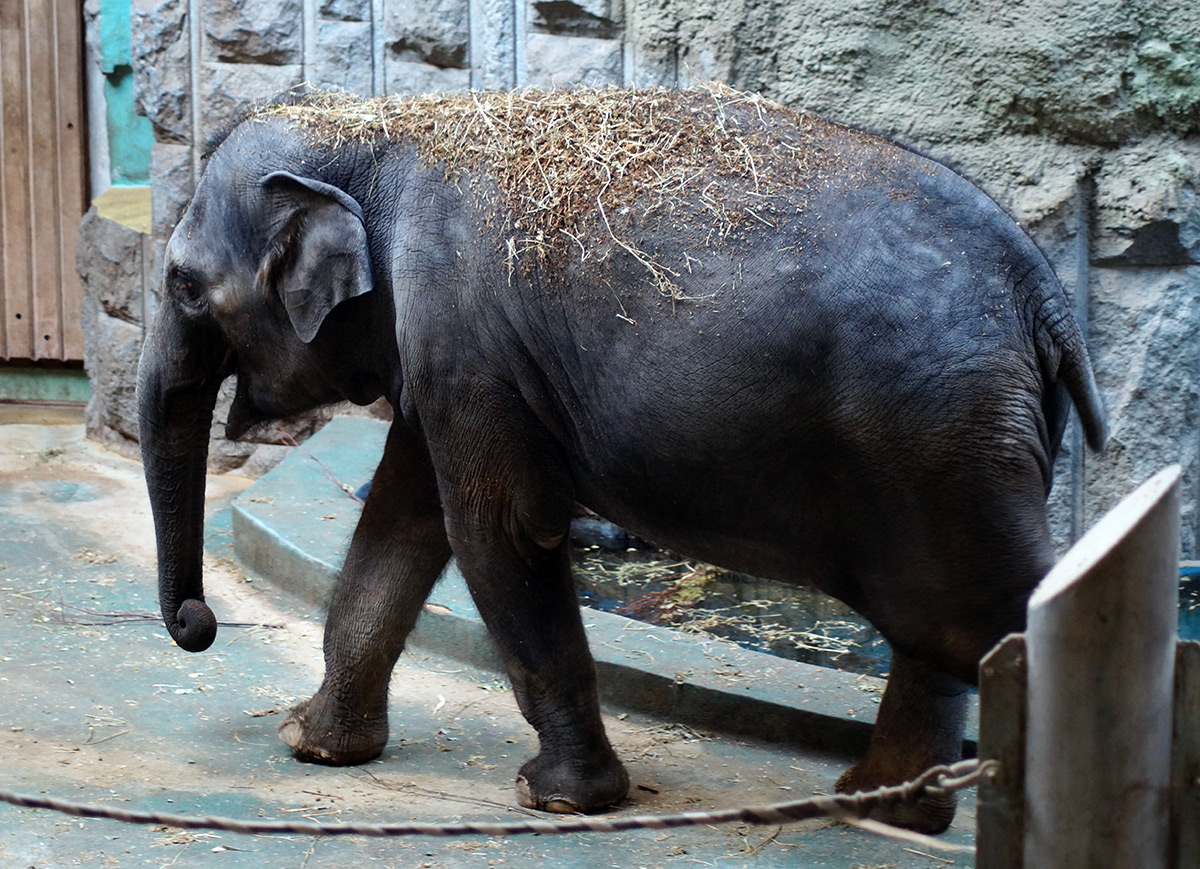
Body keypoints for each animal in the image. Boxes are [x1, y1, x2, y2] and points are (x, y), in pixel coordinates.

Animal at [138, 83, 1104, 835]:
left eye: (184, 286)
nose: (196, 623)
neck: (378, 127)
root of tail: (1044, 293)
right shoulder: (447, 362)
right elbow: (403, 525)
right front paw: (312, 743)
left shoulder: (464, 343)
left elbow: (497, 535)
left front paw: (559, 799)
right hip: (954, 446)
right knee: (941, 615)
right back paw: (880, 805)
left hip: (935, 430)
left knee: (984, 604)